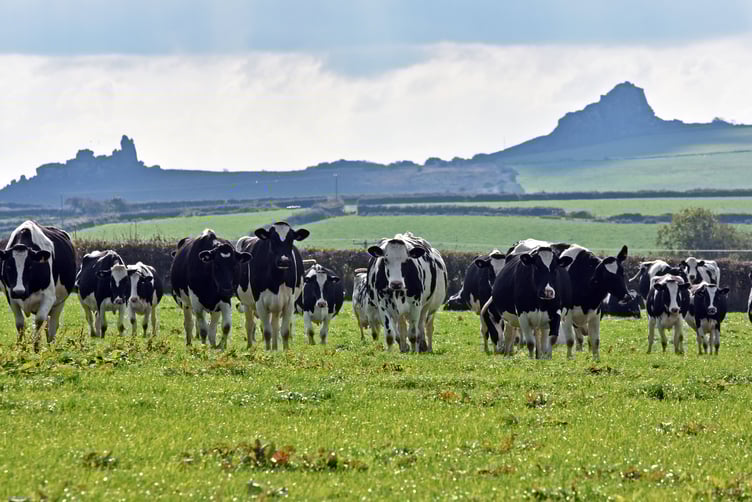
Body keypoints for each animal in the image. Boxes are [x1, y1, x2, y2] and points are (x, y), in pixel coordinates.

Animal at [0, 221, 76, 351]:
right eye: (9, 266)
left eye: (30, 266)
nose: (19, 291)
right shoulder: (10, 296)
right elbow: (20, 324)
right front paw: (21, 348)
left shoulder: (49, 297)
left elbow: (39, 321)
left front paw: (36, 348)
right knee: (47, 323)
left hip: (60, 302)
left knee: (53, 324)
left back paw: (51, 345)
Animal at [236, 222, 309, 350]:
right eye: (272, 239)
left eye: (291, 239)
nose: (284, 261)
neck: (276, 281)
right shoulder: (260, 302)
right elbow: (266, 331)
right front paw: (267, 350)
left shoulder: (289, 303)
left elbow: (284, 331)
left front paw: (285, 350)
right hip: (247, 303)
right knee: (249, 324)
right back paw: (250, 345)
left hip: (276, 305)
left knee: (274, 325)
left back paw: (275, 347)